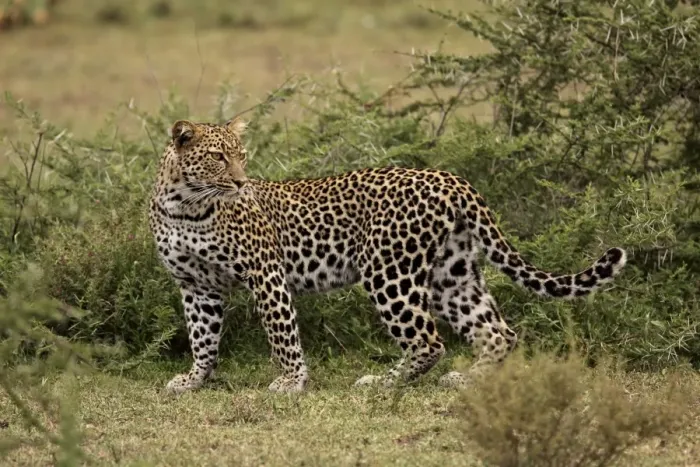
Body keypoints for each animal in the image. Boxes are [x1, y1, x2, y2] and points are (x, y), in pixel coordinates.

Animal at [148, 117, 627, 394]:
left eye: (242, 155)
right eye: (218, 157)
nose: (241, 182)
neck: (186, 206)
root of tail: (451, 178)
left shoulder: (264, 272)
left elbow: (281, 333)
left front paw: (291, 381)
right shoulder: (195, 287)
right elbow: (203, 337)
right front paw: (194, 379)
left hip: (389, 271)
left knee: (429, 341)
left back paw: (381, 383)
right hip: (452, 275)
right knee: (497, 333)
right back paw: (468, 379)